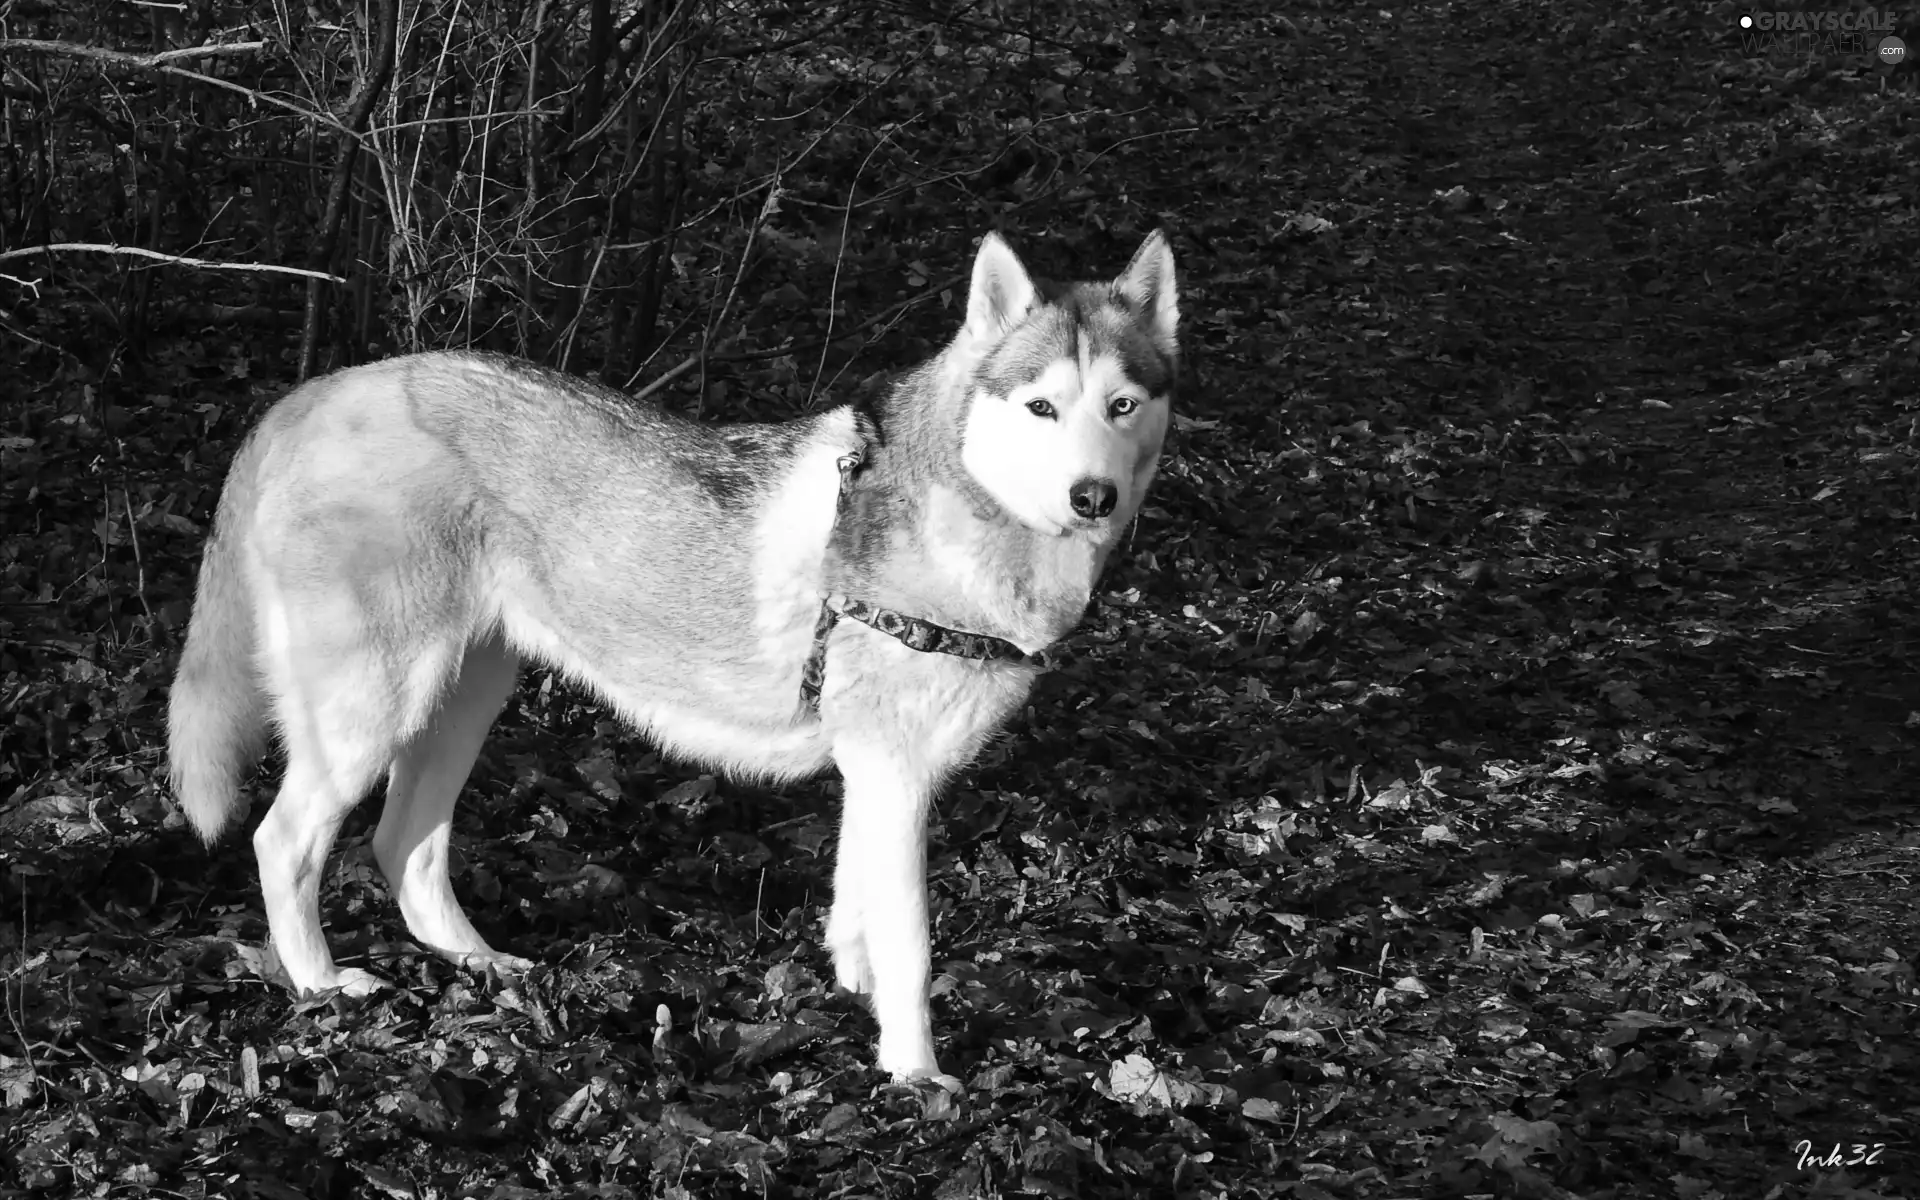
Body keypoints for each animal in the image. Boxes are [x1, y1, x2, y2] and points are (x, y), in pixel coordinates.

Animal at [168, 229, 1182, 1082]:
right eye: (1042, 406)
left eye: (1121, 405)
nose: (1092, 496)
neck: (968, 514)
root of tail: (320, 390)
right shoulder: (895, 773)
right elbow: (912, 948)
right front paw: (916, 1075)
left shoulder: (876, 776)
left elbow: (855, 907)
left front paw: (851, 992)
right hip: (370, 709)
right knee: (284, 841)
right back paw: (320, 985)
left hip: (464, 698)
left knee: (402, 845)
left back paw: (481, 963)